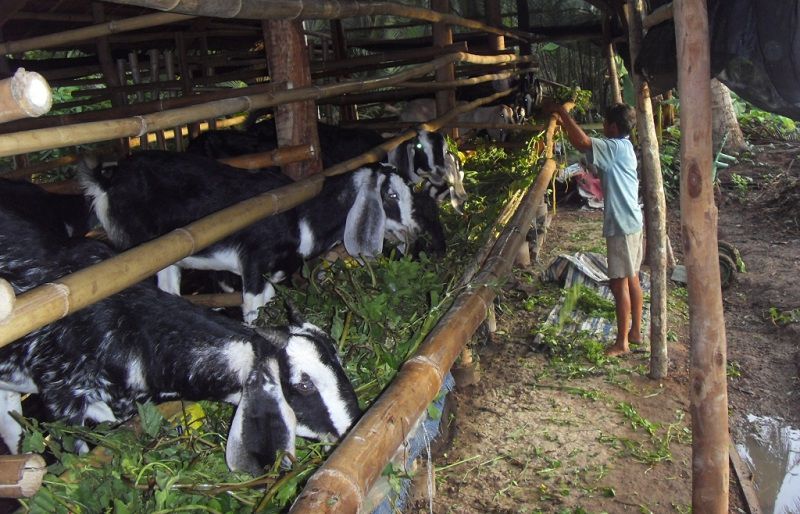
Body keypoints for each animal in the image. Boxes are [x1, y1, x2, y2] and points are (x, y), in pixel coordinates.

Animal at [78, 150, 446, 322]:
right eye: (391, 196)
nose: (416, 232)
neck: (300, 217)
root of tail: (107, 181)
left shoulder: (276, 273)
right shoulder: (253, 264)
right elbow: (253, 313)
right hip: (141, 251)